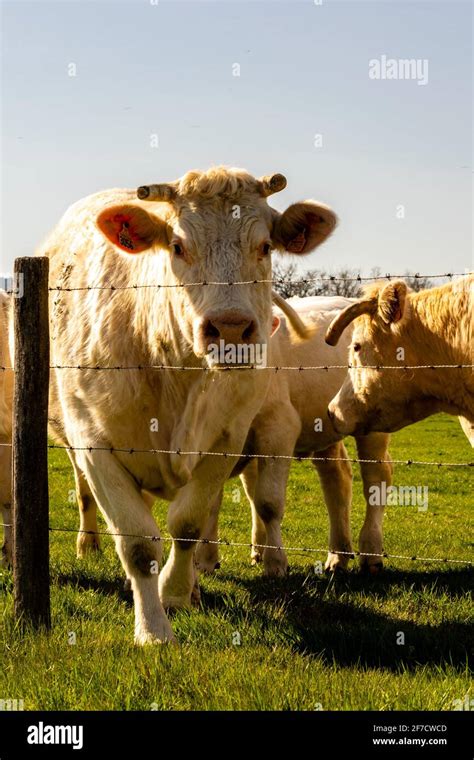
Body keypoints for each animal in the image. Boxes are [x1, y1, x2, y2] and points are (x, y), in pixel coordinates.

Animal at [40, 166, 336, 640]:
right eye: (178, 246)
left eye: (265, 246)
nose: (230, 328)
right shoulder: (95, 445)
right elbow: (138, 542)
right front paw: (152, 630)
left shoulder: (225, 438)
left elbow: (188, 524)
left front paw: (177, 594)